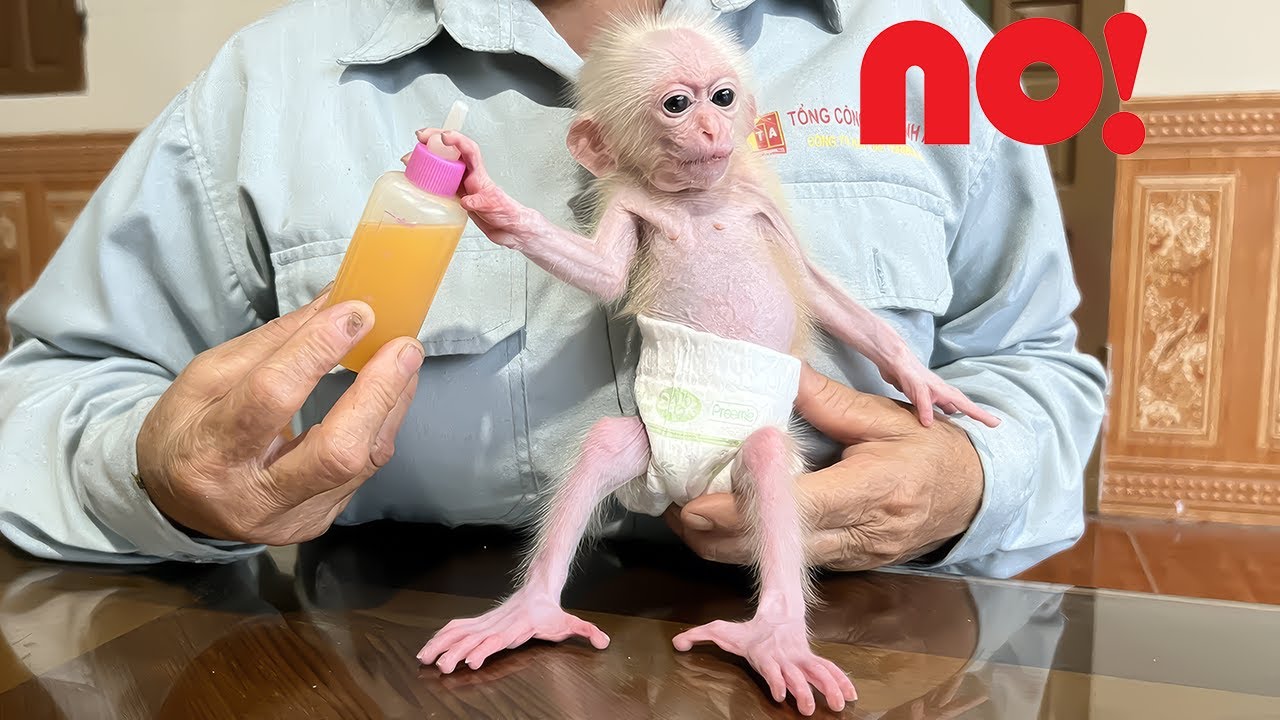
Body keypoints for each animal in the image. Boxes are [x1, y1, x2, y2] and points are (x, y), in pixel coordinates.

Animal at [414, 12, 1000, 716]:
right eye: (676, 105)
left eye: (722, 97)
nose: (713, 130)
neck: (698, 198)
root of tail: (686, 489)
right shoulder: (631, 201)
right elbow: (604, 273)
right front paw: (489, 200)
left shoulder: (756, 199)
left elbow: (820, 293)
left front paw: (920, 379)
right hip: (649, 457)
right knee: (607, 442)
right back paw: (530, 611)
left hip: (734, 470)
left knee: (768, 457)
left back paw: (775, 635)